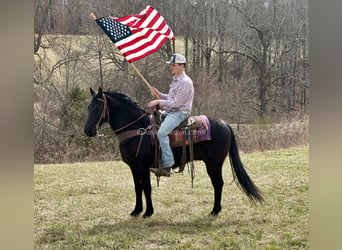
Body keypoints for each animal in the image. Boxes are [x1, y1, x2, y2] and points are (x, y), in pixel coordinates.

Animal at [83, 87, 264, 217]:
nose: (88, 130)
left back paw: (215, 211)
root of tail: (225, 124)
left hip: (214, 163)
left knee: (218, 183)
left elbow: (147, 188)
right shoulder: (133, 167)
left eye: (98, 107)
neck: (137, 128)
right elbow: (137, 188)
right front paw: (136, 210)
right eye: (88, 107)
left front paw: (148, 212)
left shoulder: (142, 167)